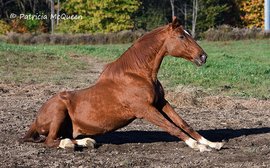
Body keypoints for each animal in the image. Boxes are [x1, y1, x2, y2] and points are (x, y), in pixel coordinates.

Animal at [20, 17, 224, 152]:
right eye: (181, 37)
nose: (203, 57)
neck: (138, 74)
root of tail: (36, 119)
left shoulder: (160, 103)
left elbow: (184, 124)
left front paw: (212, 143)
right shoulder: (145, 109)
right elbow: (172, 127)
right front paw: (197, 146)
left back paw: (87, 142)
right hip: (58, 111)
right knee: (51, 141)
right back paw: (72, 144)